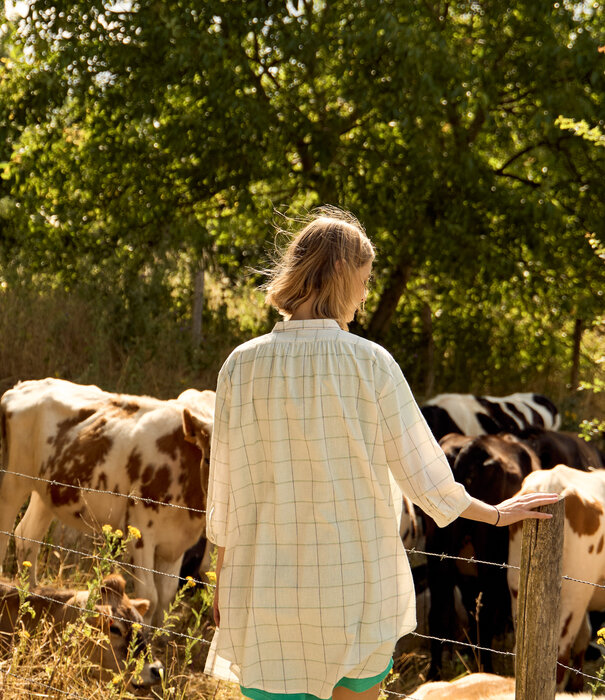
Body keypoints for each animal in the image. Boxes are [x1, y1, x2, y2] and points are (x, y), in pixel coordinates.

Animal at [0, 380, 216, 628]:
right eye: (208, 457)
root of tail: (23, 386)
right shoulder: (141, 532)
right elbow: (150, 596)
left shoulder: (174, 543)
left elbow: (166, 599)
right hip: (13, 482)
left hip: (46, 492)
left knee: (27, 538)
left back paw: (34, 596)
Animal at [420, 432, 536, 680]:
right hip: (489, 552)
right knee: (485, 612)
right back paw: (487, 670)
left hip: (437, 548)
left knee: (438, 611)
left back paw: (434, 673)